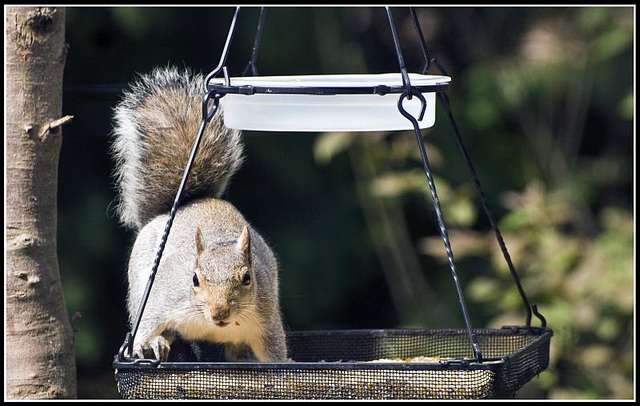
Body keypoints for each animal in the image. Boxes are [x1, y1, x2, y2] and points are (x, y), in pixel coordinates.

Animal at [111, 66, 286, 362]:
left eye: (247, 278)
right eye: (194, 279)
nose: (219, 312)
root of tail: (189, 203)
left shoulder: (266, 320)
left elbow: (276, 357)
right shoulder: (164, 296)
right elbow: (147, 321)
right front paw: (140, 344)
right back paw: (158, 343)